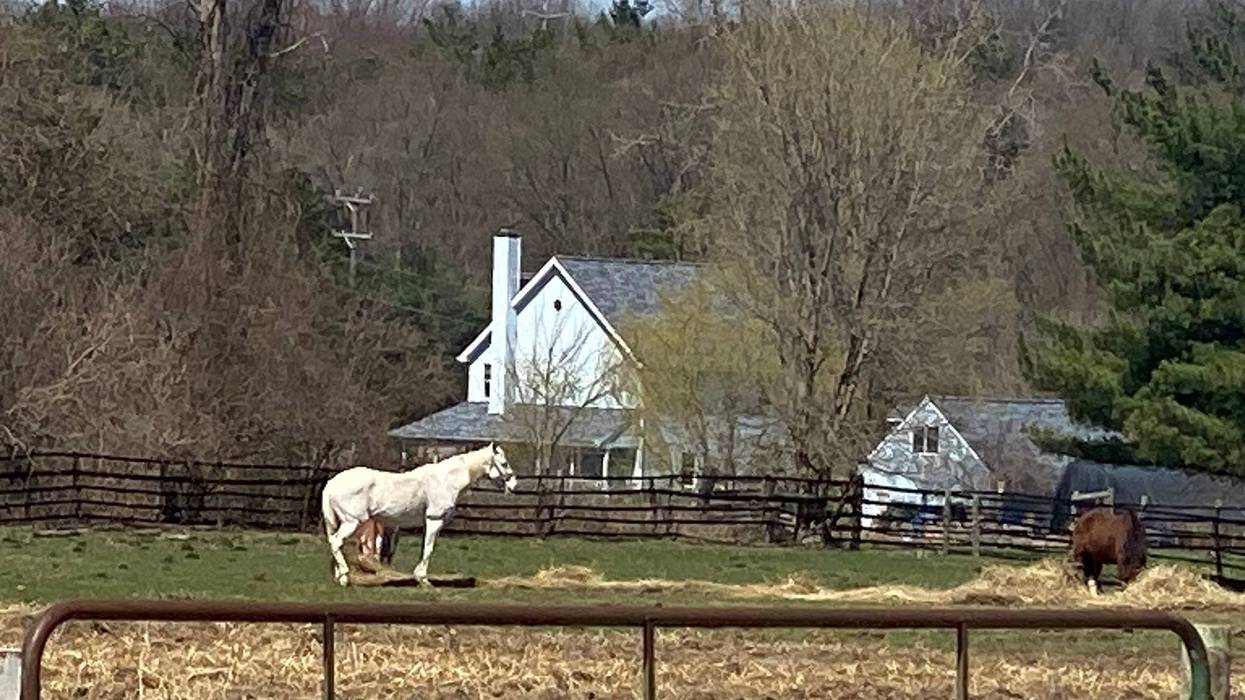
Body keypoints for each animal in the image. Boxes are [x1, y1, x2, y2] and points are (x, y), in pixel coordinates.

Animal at [321, 443, 517, 586]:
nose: (514, 484)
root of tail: (331, 484)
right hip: (352, 522)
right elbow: (428, 549)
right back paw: (345, 576)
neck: (446, 481)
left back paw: (340, 577)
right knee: (336, 542)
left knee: (335, 544)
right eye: (504, 464)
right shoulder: (434, 520)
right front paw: (423, 579)